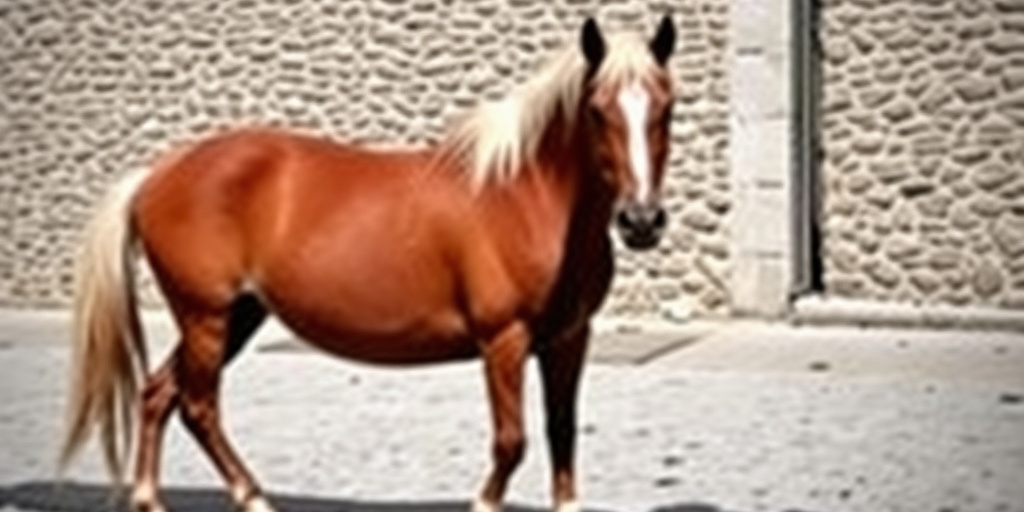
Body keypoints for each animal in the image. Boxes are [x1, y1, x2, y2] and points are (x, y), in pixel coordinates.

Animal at [59, 15, 676, 512]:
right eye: (596, 112)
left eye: (666, 108)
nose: (641, 221)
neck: (525, 197)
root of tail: (158, 173)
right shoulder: (504, 340)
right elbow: (512, 440)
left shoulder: (569, 339)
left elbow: (561, 428)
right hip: (205, 317)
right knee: (197, 406)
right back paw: (253, 497)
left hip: (235, 316)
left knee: (158, 393)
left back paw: (152, 498)